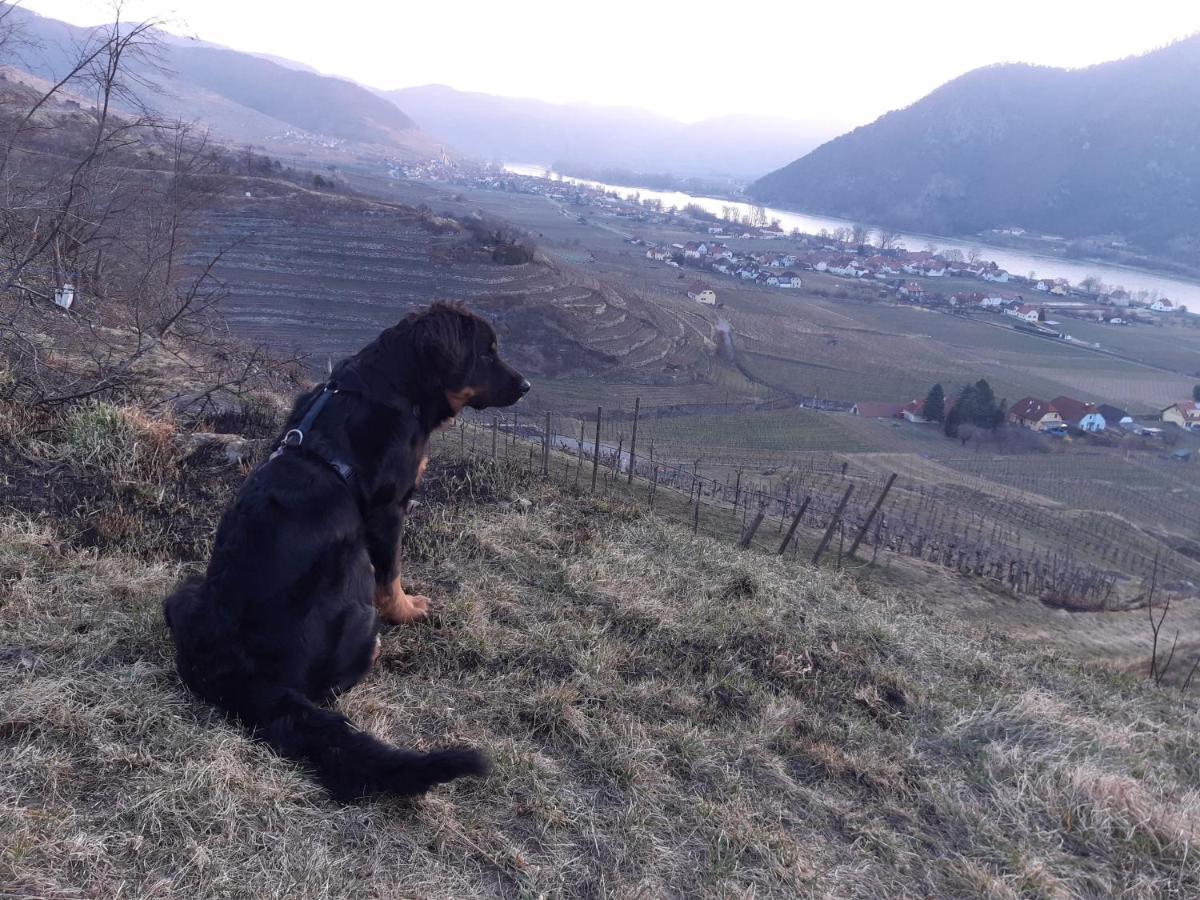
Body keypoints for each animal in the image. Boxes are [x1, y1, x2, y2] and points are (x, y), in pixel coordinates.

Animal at [163, 304, 525, 801]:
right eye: (487, 353)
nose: (526, 386)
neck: (395, 383)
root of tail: (242, 671)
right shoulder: (387, 512)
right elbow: (391, 575)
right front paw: (407, 610)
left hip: (184, 592)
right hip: (350, 582)